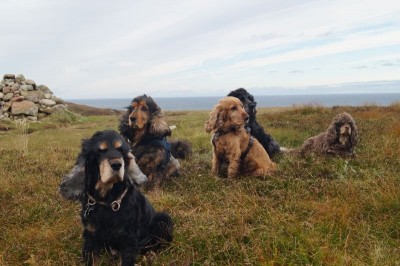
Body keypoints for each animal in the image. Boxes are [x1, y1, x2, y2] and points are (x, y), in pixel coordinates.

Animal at [63, 130, 173, 264]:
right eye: (100, 151)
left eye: (121, 150)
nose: (117, 165)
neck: (106, 199)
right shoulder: (91, 236)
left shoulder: (127, 239)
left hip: (164, 219)